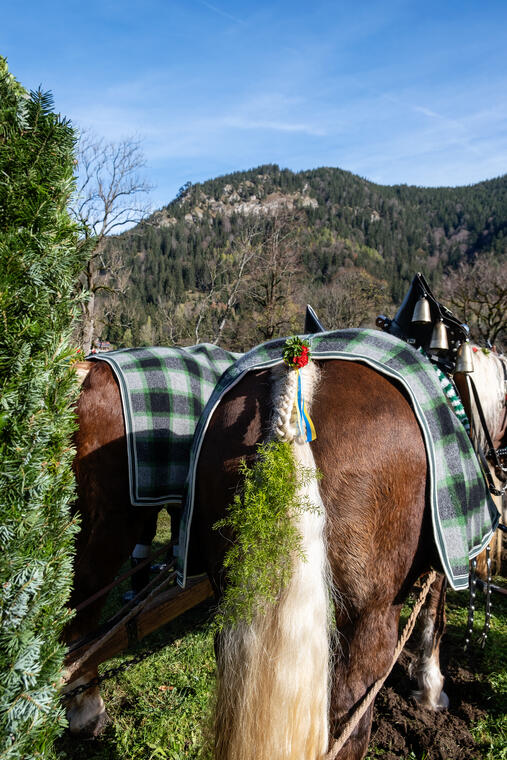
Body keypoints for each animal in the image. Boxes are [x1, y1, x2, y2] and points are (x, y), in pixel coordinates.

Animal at [191, 348, 507, 756]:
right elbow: (433, 616)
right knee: (350, 716)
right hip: (368, 618)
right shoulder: (444, 559)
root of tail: (295, 376)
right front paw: (431, 689)